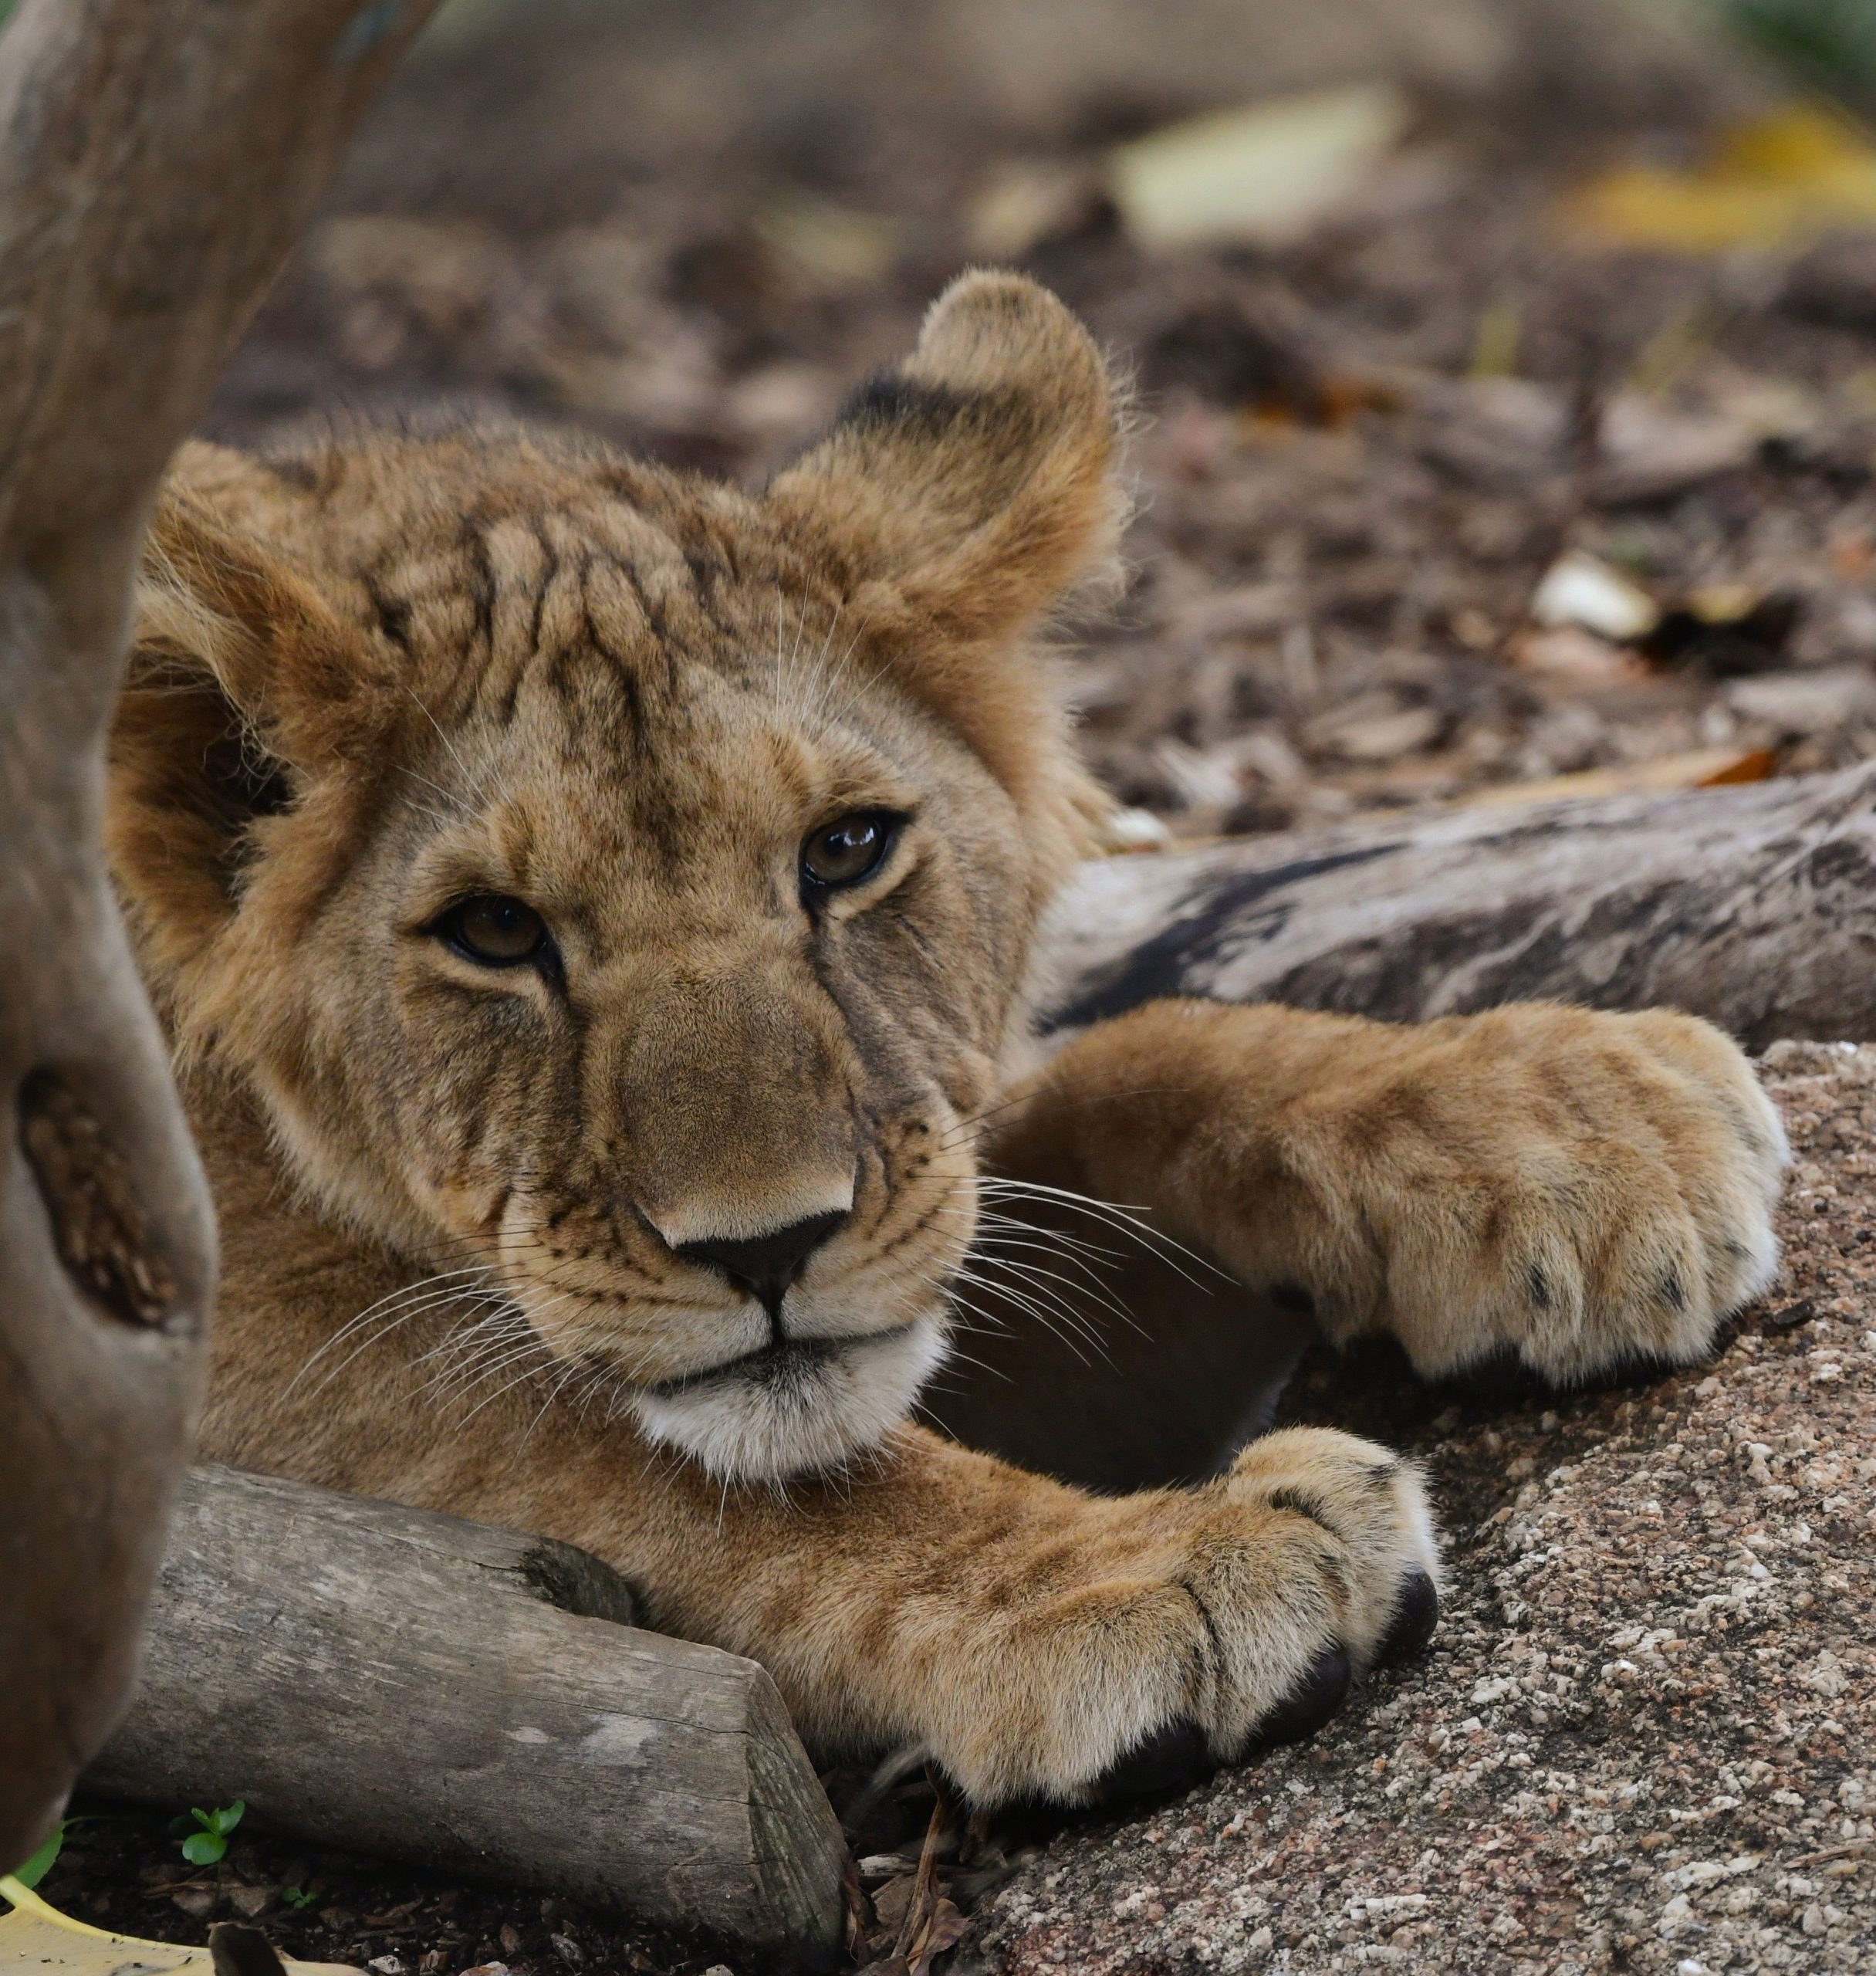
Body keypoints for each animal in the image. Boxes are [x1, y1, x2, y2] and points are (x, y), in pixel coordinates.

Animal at [106, 271, 1787, 1809]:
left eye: (845, 849)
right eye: (497, 932)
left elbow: (1131, 1069)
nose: (770, 1249)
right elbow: (643, 1457)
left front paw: (1560, 1126)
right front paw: (1147, 1571)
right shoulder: (236, 1356)